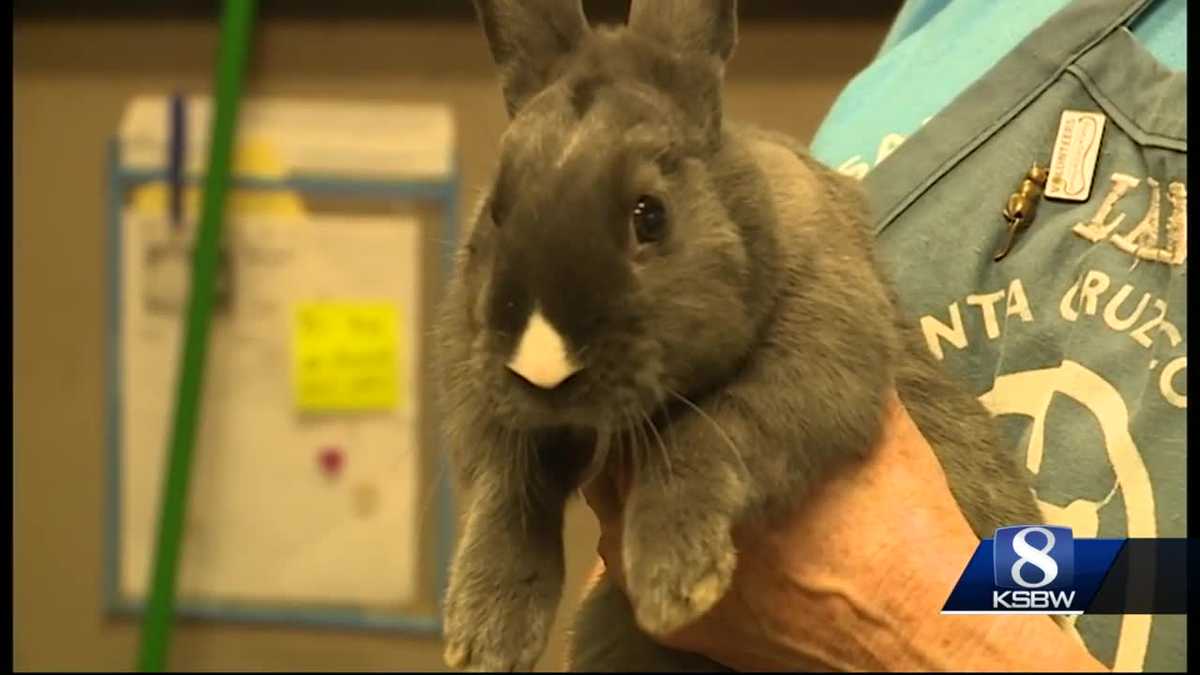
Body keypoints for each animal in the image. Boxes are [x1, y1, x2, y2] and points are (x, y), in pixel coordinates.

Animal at [432, 0, 1046, 671]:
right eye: (497, 211)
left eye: (650, 215)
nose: (543, 368)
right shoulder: (491, 398)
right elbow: (509, 495)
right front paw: (484, 635)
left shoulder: (814, 359)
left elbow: (703, 441)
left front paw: (675, 582)